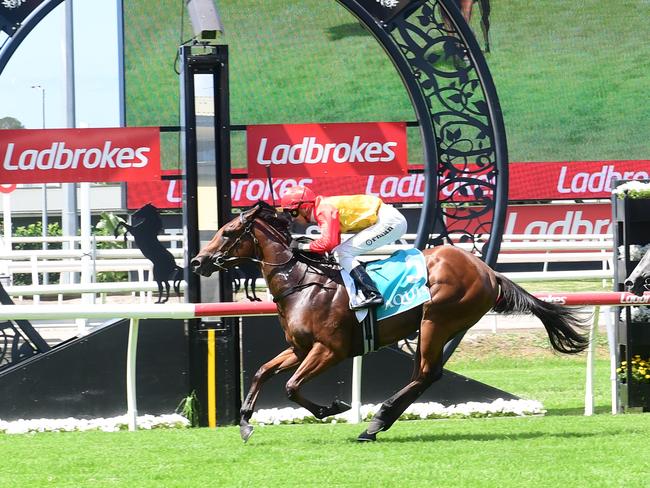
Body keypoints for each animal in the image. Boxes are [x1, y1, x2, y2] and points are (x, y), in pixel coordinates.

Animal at [190, 202, 588, 442]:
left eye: (227, 233)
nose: (197, 261)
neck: (302, 283)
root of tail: (487, 270)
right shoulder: (300, 349)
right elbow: (261, 372)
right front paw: (245, 423)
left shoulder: (330, 350)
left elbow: (290, 386)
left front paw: (333, 408)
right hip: (440, 326)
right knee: (423, 374)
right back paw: (379, 422)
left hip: (437, 319)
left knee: (426, 374)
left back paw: (376, 421)